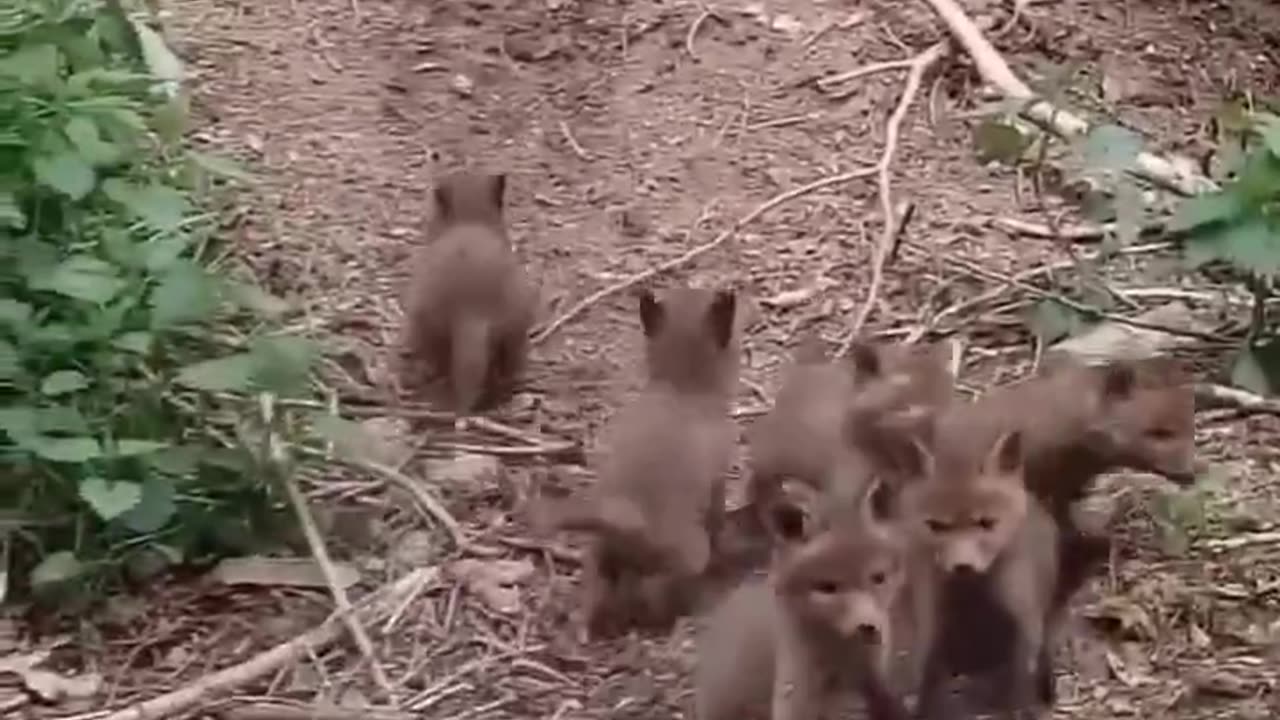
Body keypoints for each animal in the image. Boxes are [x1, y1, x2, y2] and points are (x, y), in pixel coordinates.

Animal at [529, 287, 741, 638]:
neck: (680, 387)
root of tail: (623, 513)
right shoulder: (717, 482)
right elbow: (718, 520)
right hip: (686, 556)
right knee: (659, 597)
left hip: (599, 557)